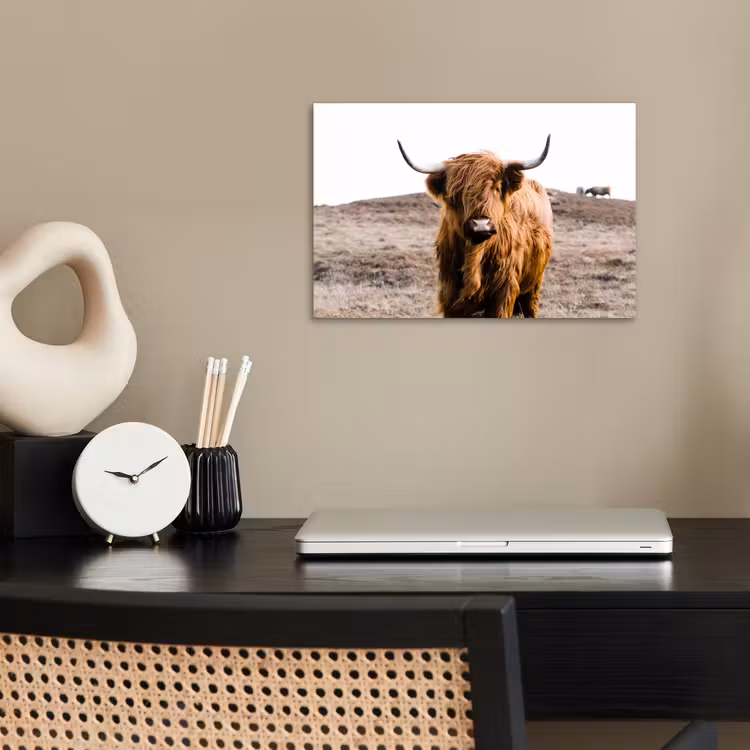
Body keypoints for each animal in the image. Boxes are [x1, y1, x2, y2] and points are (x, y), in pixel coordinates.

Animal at [398, 136, 553, 318]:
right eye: (455, 193)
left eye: (497, 188)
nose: (481, 225)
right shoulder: (450, 294)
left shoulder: (503, 291)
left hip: (534, 284)